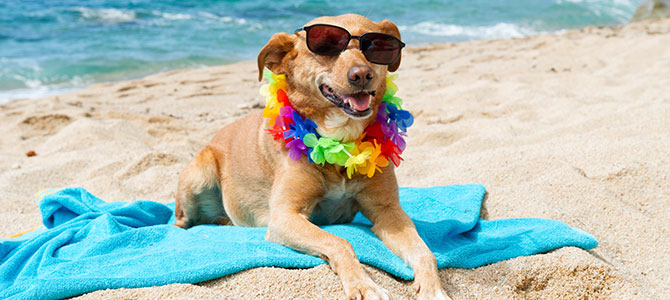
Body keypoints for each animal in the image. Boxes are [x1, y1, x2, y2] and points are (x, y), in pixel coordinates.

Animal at [175, 14, 452, 300]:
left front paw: (433, 289)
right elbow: (340, 242)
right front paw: (364, 285)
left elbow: (424, 251)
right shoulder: (284, 216)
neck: (340, 143)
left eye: (376, 45)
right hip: (200, 173)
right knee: (181, 221)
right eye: (326, 46)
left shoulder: (388, 211)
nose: (362, 74)